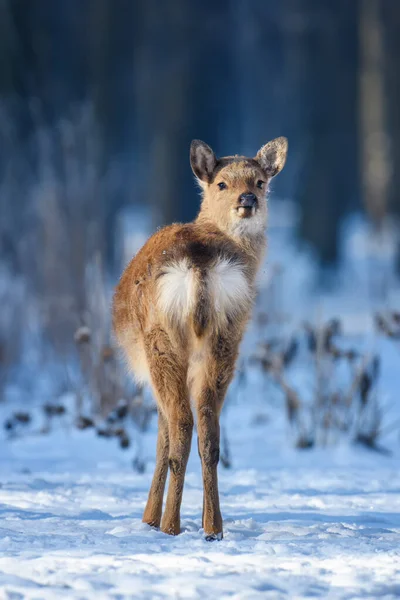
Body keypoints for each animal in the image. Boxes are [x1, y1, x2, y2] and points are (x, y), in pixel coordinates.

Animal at [112, 136, 288, 540]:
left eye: (260, 182)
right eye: (222, 183)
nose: (248, 199)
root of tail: (200, 262)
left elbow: (160, 440)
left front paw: (147, 519)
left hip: (160, 342)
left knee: (181, 424)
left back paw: (169, 526)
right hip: (227, 337)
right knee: (210, 429)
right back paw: (213, 527)